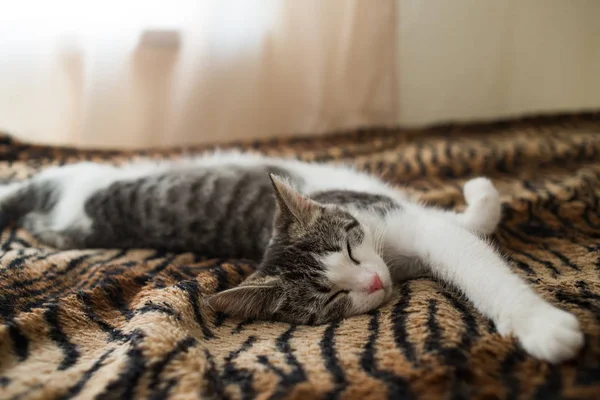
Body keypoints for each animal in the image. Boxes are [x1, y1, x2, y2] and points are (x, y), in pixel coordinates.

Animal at [0, 151, 584, 362]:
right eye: (330, 299)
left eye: (349, 247)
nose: (375, 284)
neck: (390, 254)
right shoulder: (418, 234)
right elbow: (470, 244)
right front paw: (541, 326)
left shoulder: (398, 219)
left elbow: (466, 231)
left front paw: (479, 193)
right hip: (76, 186)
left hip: (84, 178)